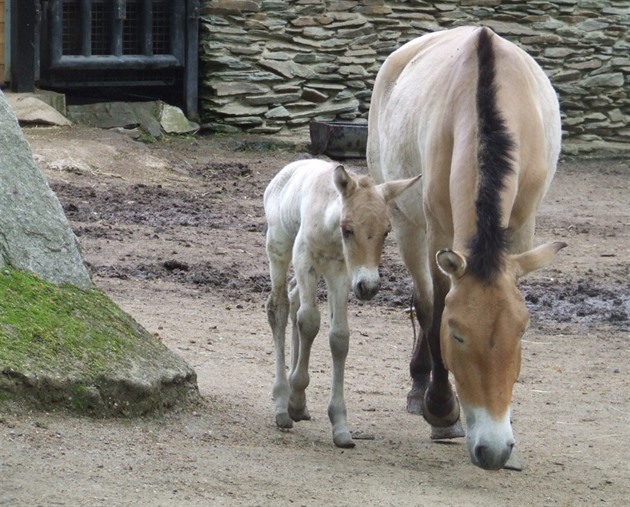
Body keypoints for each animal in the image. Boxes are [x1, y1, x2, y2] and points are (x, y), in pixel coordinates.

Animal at [366, 25, 568, 470]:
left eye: (521, 332)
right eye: (457, 335)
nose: (494, 449)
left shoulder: (522, 229)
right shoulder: (439, 234)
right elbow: (435, 310)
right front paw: (442, 411)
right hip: (407, 225)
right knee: (423, 299)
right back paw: (420, 389)